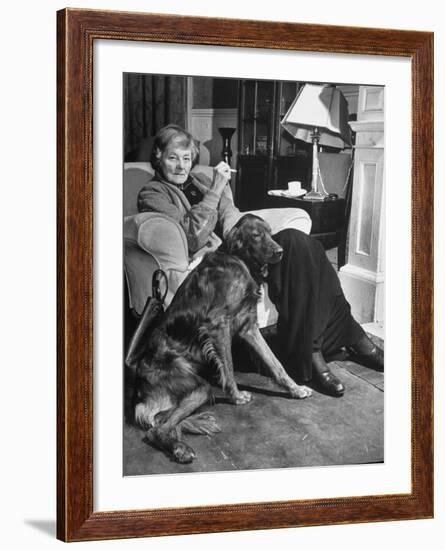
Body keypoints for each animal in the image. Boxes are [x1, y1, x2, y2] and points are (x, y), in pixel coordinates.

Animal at [134, 213, 310, 464]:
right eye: (256, 235)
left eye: (270, 232)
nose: (280, 251)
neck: (239, 260)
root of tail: (139, 391)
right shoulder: (218, 325)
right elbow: (228, 366)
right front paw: (236, 396)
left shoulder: (249, 327)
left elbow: (275, 363)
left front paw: (295, 389)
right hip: (197, 386)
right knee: (156, 429)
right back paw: (181, 450)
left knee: (164, 422)